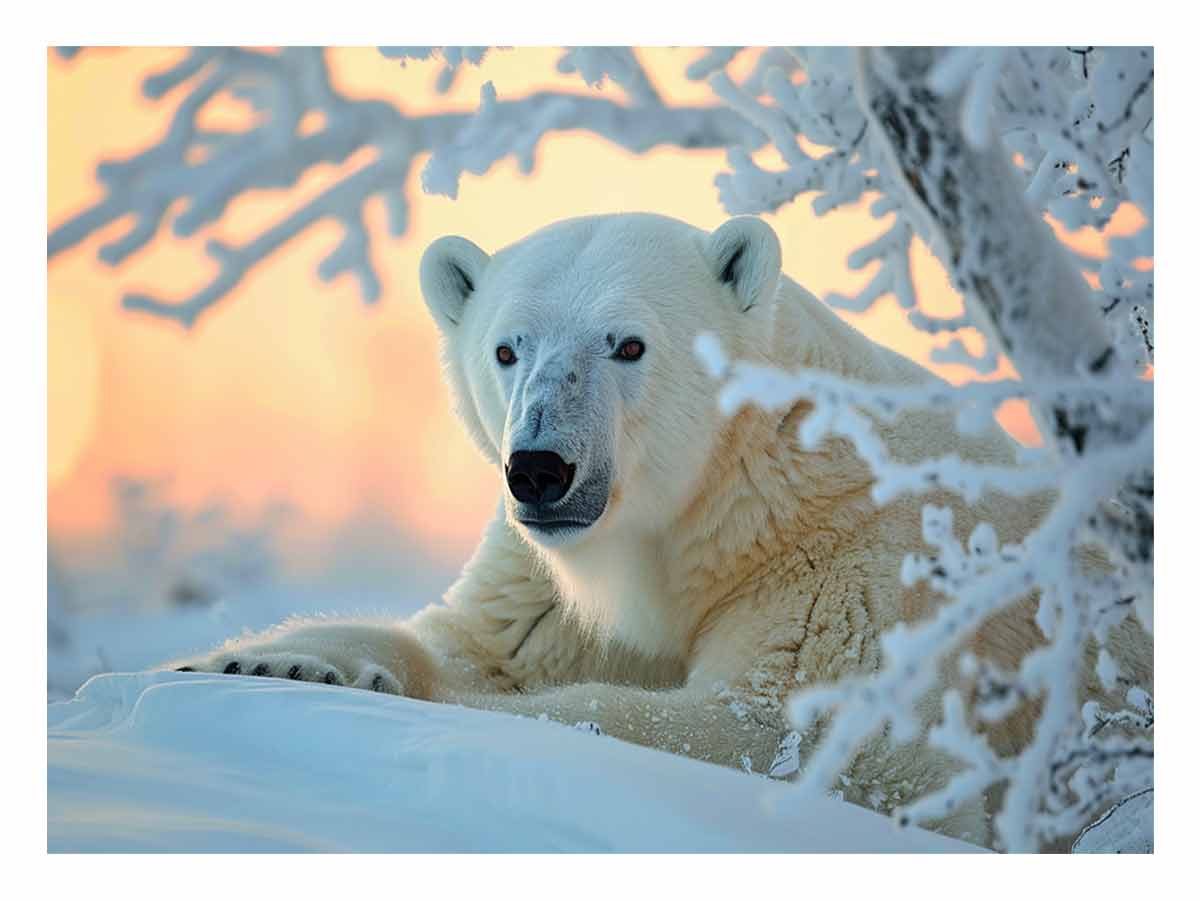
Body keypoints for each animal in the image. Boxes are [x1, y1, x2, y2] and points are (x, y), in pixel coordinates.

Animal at [171, 213, 1151, 848]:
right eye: (507, 348)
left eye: (628, 344)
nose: (540, 469)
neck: (729, 501)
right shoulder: (551, 579)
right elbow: (474, 640)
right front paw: (267, 660)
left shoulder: (860, 568)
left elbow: (798, 736)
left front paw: (429, 704)